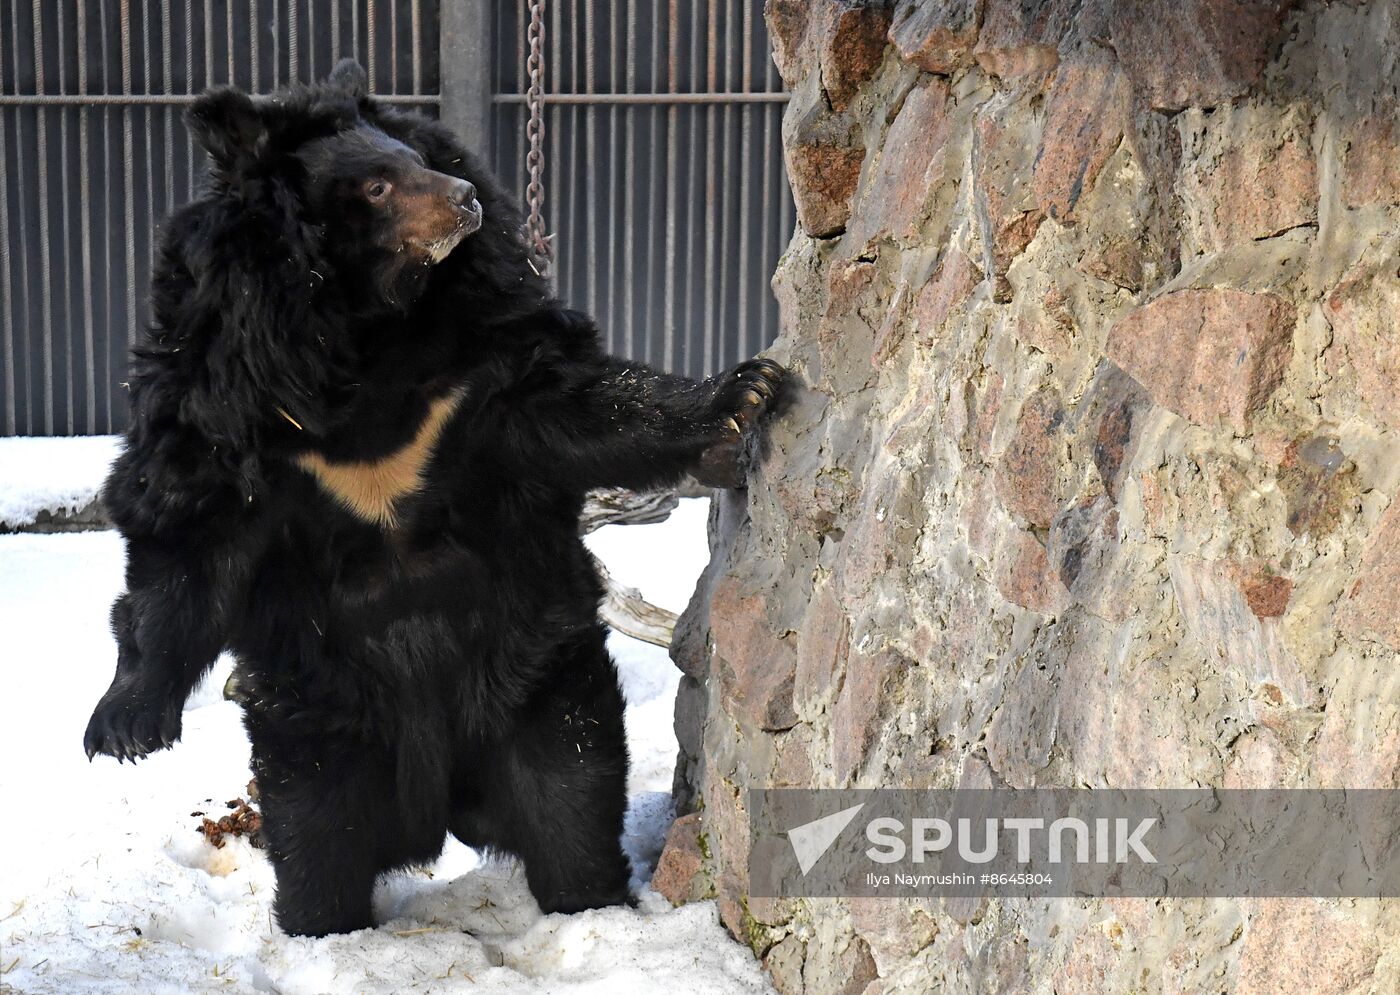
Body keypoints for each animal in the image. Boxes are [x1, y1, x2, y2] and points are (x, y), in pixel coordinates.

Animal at [82, 60, 786, 938]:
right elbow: (186, 533)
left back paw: (591, 903)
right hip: (321, 718)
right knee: (316, 837)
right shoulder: (225, 392)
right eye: (378, 185)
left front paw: (744, 393)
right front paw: (124, 728)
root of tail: (444, 805)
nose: (466, 197)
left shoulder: (478, 366)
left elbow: (577, 399)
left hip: (538, 685)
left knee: (571, 796)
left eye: (417, 157)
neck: (367, 329)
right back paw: (323, 927)